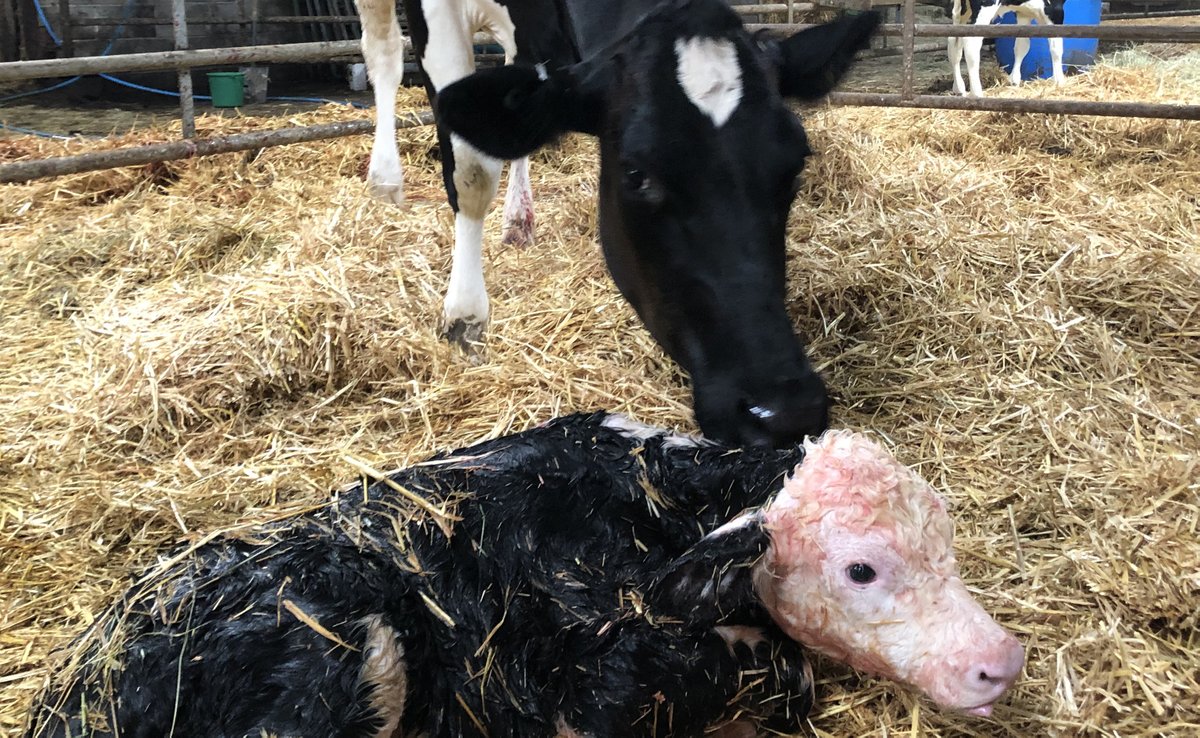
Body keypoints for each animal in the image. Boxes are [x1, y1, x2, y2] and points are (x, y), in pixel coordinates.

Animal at [356, 0, 881, 448]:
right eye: (636, 174)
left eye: (795, 164)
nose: (785, 410)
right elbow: (472, 172)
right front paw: (465, 317)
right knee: (383, 50)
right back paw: (385, 180)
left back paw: (518, 219)